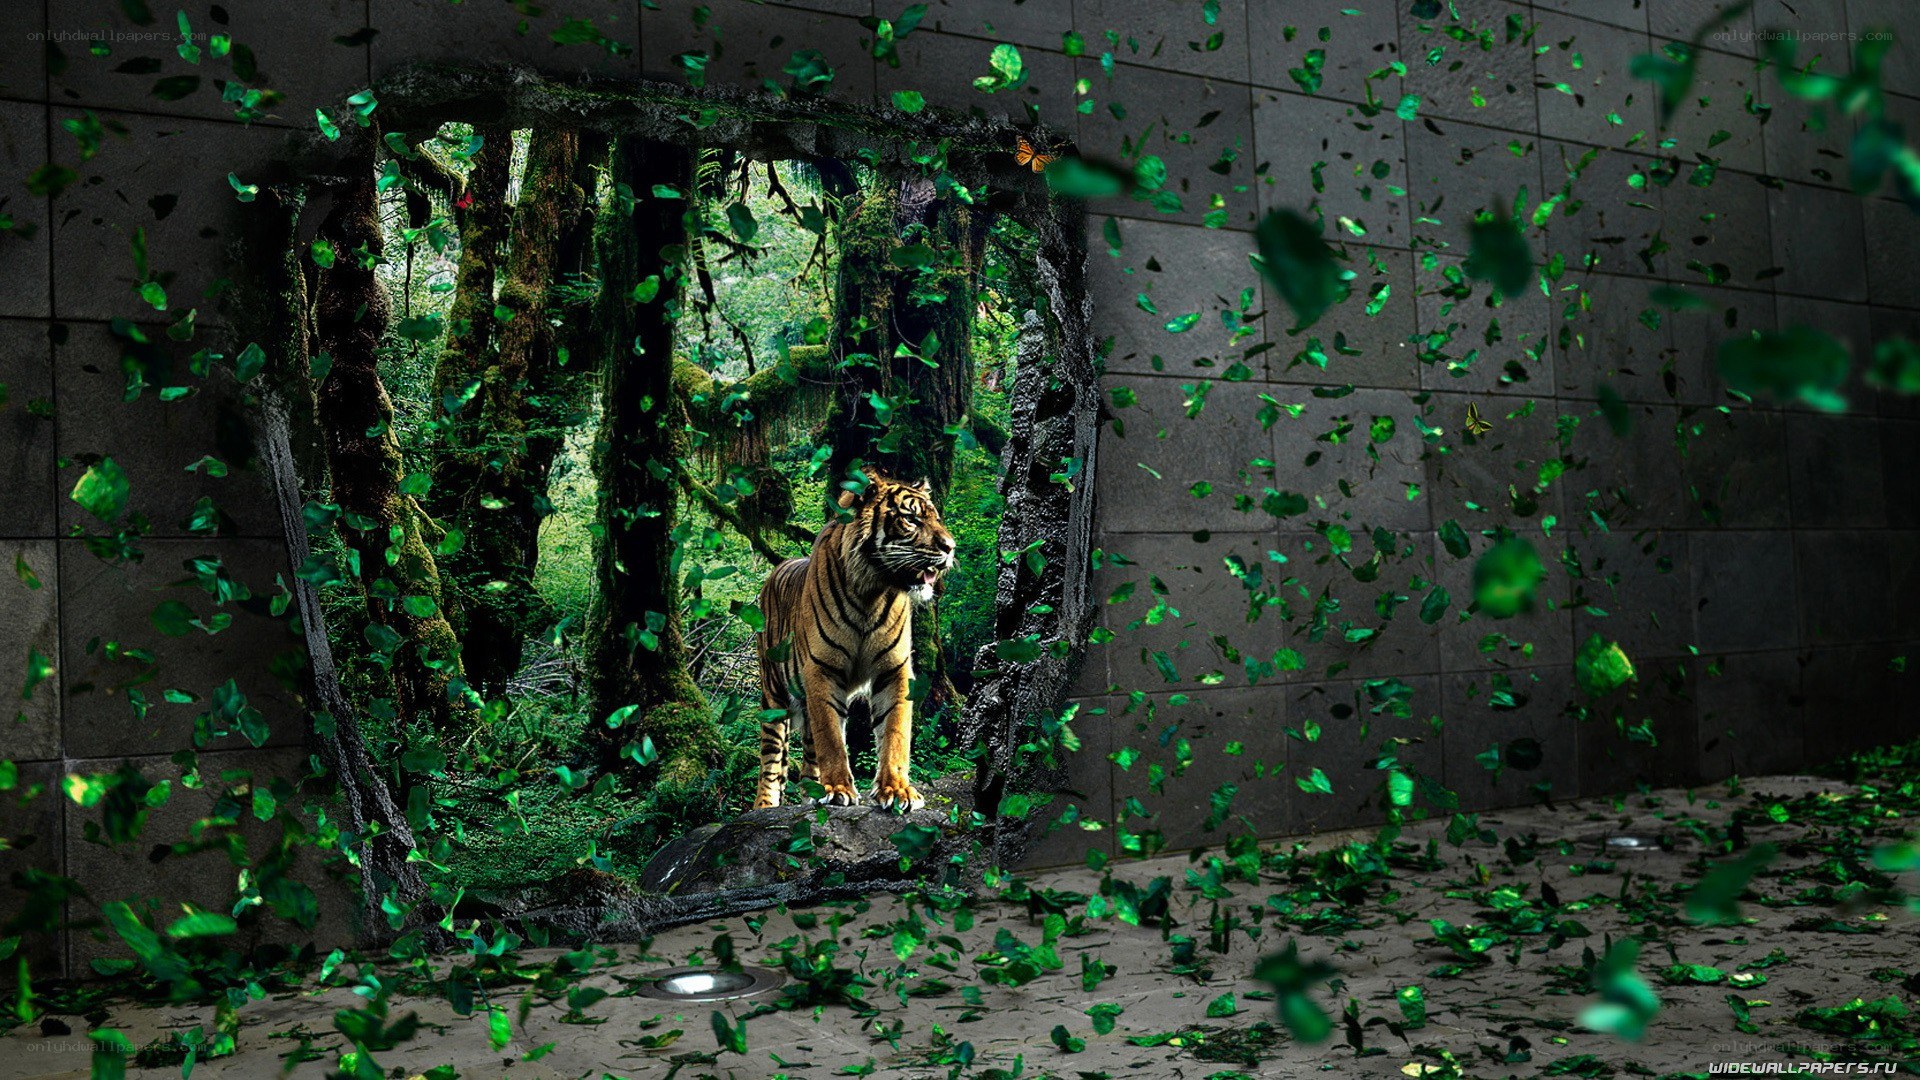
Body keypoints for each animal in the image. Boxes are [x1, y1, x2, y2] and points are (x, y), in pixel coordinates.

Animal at [752, 474, 957, 812]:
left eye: (936, 518)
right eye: (911, 519)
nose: (951, 548)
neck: (871, 591)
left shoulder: (895, 670)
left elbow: (895, 731)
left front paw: (897, 790)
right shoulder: (822, 669)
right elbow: (831, 738)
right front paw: (838, 789)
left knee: (808, 754)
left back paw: (811, 793)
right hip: (773, 696)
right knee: (771, 760)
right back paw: (765, 806)